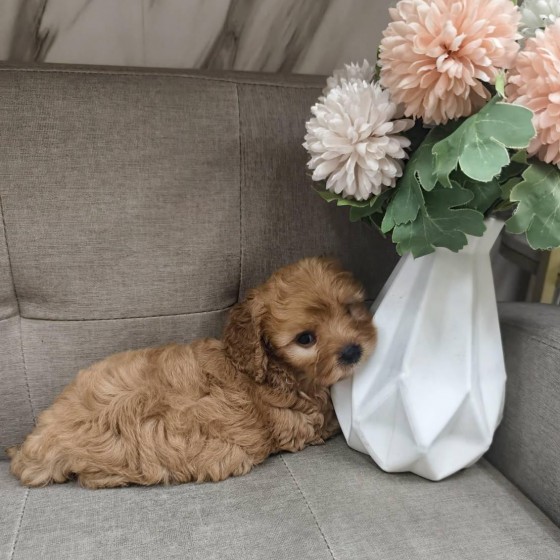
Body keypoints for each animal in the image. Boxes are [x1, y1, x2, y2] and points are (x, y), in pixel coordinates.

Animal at [7, 257, 377, 489]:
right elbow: (328, 418)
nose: (352, 351)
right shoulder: (302, 421)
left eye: (350, 309)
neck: (264, 366)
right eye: (306, 339)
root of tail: (38, 441)